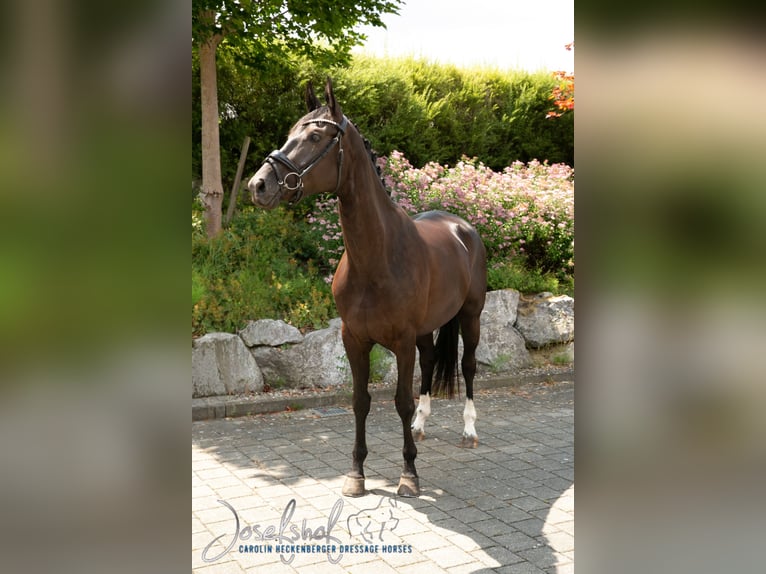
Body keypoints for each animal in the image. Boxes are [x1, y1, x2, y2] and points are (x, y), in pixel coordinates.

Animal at [248, 78, 487, 498]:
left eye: (314, 135)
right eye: (291, 132)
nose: (258, 185)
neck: (377, 256)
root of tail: (462, 227)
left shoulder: (402, 341)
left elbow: (401, 400)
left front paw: (409, 475)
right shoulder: (354, 338)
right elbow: (361, 401)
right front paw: (356, 474)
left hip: (470, 316)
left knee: (468, 366)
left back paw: (469, 431)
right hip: (426, 330)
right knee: (429, 364)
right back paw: (421, 426)